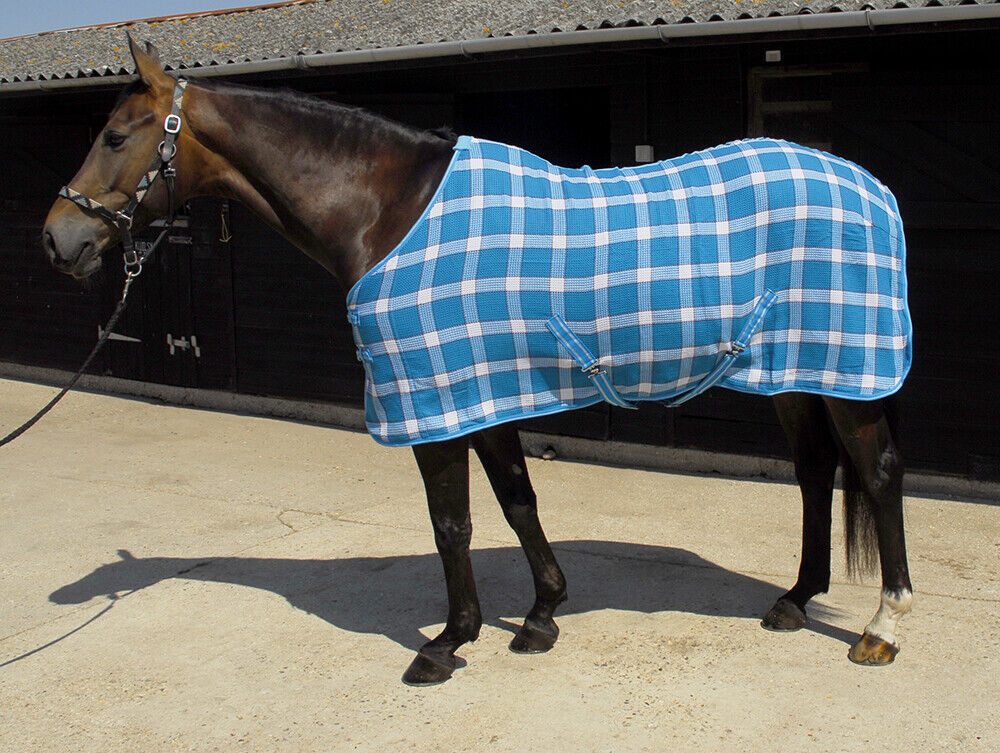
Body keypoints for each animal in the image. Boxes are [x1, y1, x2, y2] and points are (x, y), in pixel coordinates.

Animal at [41, 36, 912, 686]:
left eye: (115, 135)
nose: (59, 240)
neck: (388, 210)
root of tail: (871, 187)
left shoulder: (434, 399)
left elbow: (451, 523)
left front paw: (447, 641)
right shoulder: (482, 392)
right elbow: (517, 501)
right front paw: (541, 615)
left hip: (851, 377)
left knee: (876, 474)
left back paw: (885, 625)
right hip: (798, 372)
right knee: (814, 473)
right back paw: (795, 598)